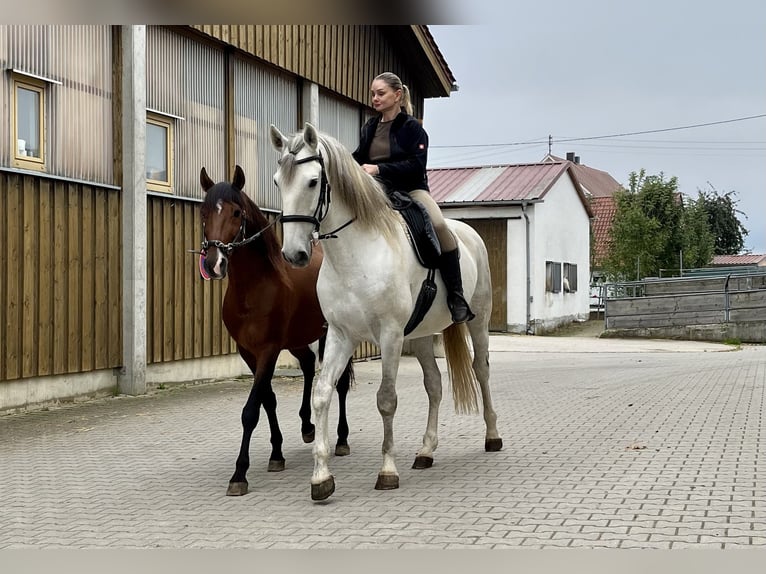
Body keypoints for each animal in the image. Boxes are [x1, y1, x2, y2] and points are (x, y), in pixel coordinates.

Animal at [198, 164, 354, 498]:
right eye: (204, 212)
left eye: (236, 213)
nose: (215, 263)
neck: (253, 289)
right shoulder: (249, 353)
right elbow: (267, 400)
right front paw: (276, 453)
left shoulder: (268, 350)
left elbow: (250, 410)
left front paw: (239, 474)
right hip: (297, 339)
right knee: (307, 367)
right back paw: (307, 427)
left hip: (332, 336)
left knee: (339, 385)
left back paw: (342, 439)